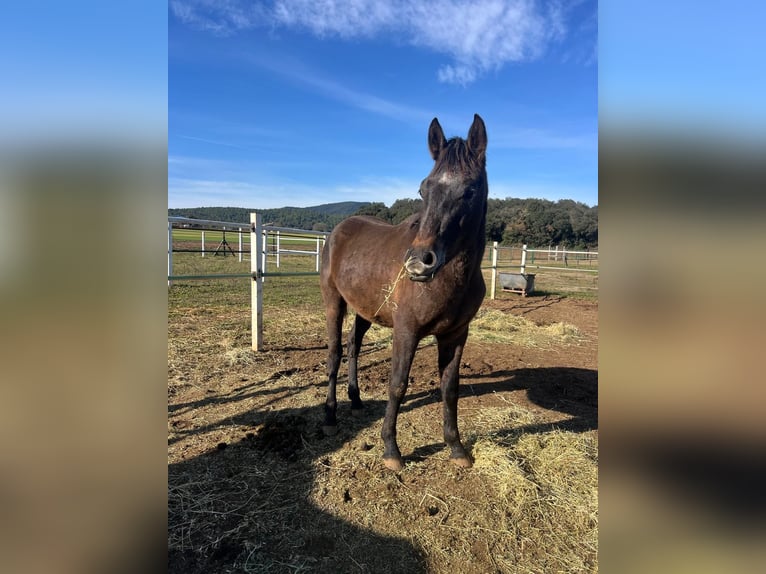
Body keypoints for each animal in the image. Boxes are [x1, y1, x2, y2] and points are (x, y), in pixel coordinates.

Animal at [320, 114, 489, 471]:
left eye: (470, 190)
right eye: (423, 189)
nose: (418, 262)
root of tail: (339, 229)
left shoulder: (456, 334)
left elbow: (450, 388)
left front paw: (456, 448)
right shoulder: (406, 331)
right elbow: (397, 384)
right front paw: (391, 450)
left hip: (366, 309)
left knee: (353, 346)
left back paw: (356, 399)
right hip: (334, 302)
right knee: (334, 353)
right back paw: (329, 418)